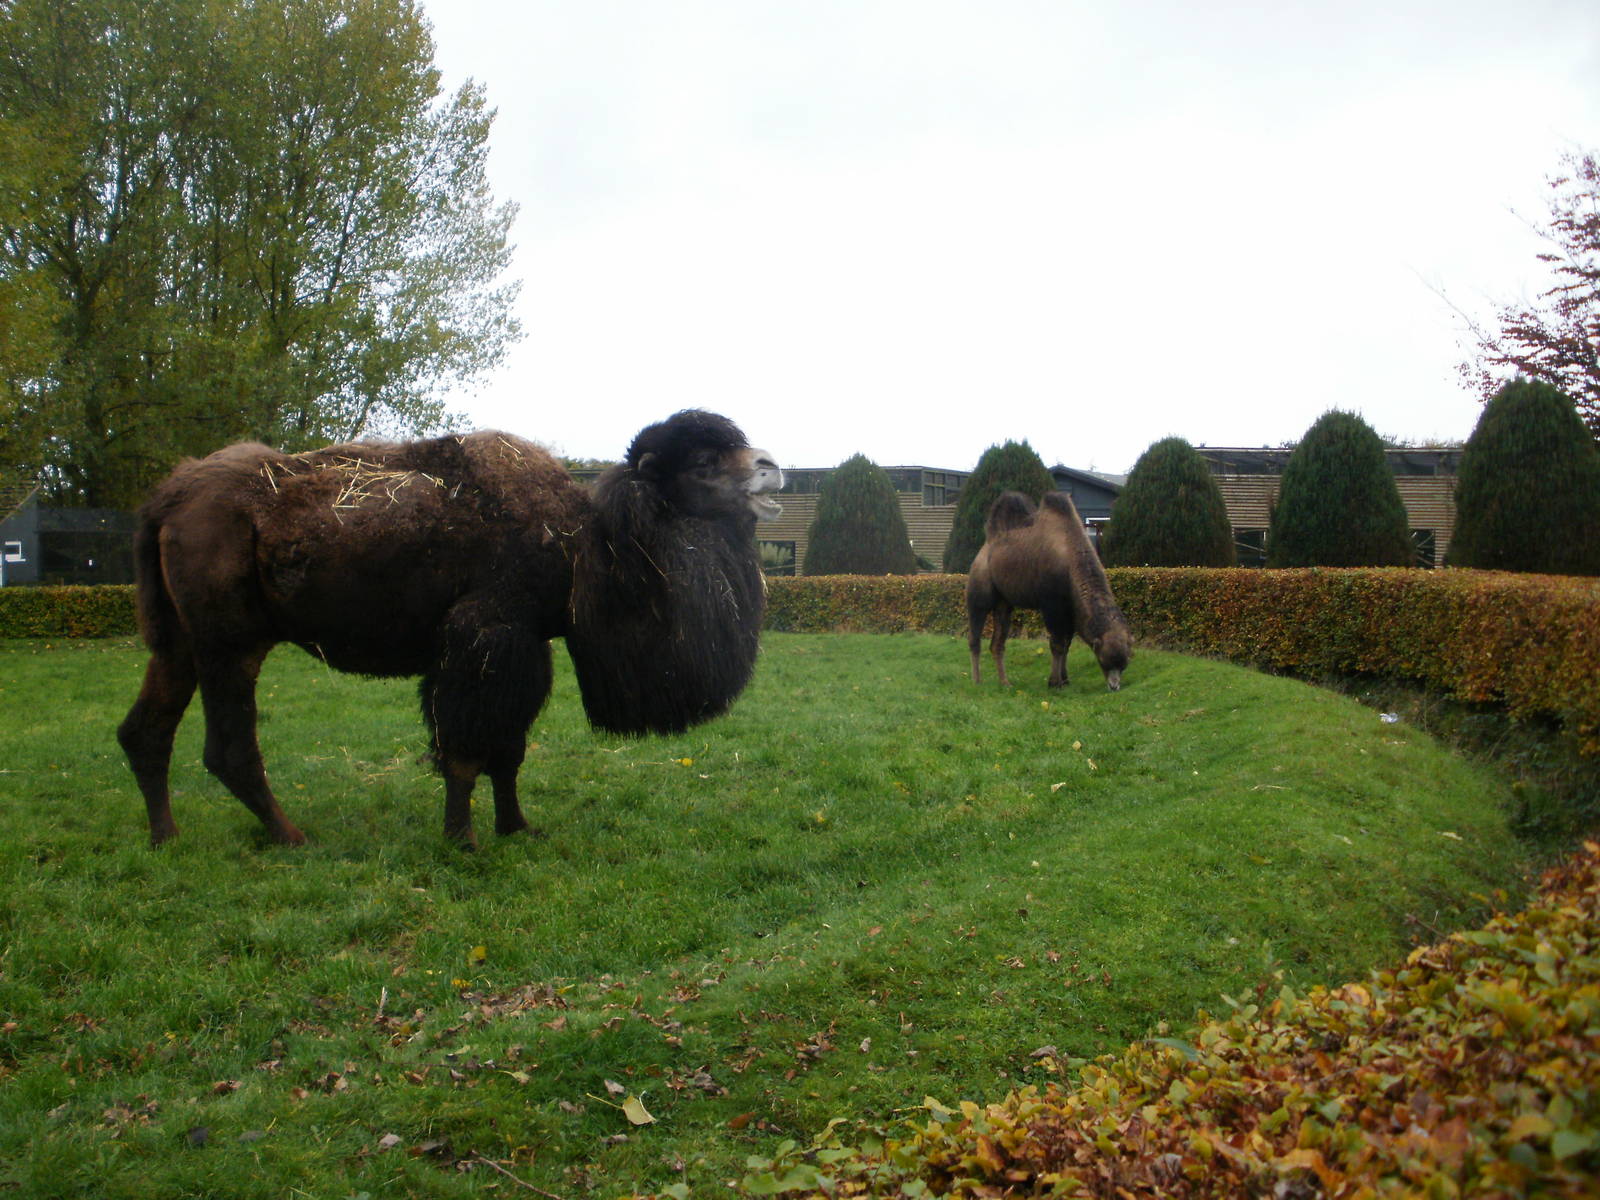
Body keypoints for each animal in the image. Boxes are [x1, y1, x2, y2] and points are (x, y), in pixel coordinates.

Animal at [116, 410, 783, 849]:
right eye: (703, 463)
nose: (771, 470)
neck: (583, 541)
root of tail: (168, 499)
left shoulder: (526, 647)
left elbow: (508, 752)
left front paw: (517, 828)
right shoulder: (484, 639)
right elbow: (465, 749)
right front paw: (462, 841)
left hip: (177, 645)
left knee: (146, 732)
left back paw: (166, 837)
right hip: (231, 647)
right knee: (229, 748)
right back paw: (291, 836)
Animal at [966, 490, 1133, 691]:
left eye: (1124, 665)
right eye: (1104, 661)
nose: (1114, 686)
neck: (1069, 561)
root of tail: (985, 547)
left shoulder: (1070, 609)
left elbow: (1067, 644)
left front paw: (1065, 679)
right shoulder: (1051, 605)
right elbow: (1057, 644)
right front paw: (1054, 682)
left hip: (1004, 604)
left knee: (997, 643)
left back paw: (1005, 682)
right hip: (979, 589)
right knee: (975, 636)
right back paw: (976, 681)